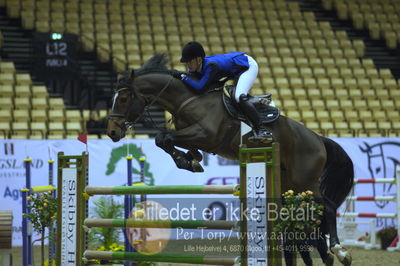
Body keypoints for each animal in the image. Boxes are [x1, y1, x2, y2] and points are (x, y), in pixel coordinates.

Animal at [106, 54, 354, 266]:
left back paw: (340, 252)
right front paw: (190, 160)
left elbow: (163, 137)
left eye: (124, 98)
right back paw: (327, 254)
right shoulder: (193, 136)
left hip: (305, 180)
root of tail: (318, 138)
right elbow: (167, 141)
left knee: (327, 207)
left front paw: (185, 161)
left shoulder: (205, 134)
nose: (111, 132)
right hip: (289, 184)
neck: (187, 99)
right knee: (313, 214)